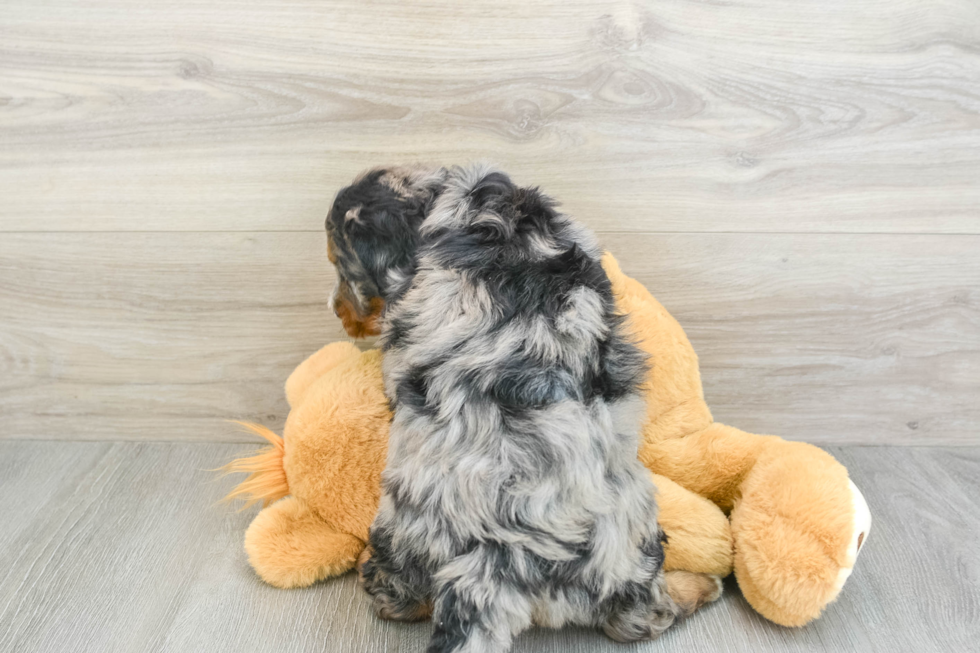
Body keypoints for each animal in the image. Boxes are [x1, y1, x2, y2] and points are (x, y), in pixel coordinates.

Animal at [328, 164, 720, 652]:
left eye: (340, 268)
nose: (336, 311)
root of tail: (491, 562)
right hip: (632, 535)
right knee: (641, 617)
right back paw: (701, 586)